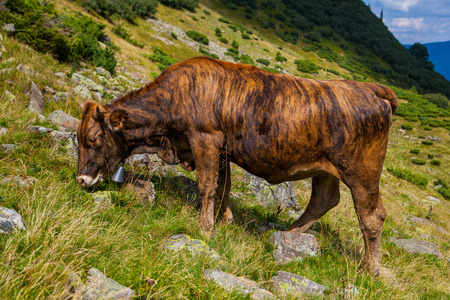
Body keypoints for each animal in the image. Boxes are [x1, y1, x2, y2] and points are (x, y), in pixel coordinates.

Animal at [76, 56, 398, 274]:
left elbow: (207, 186)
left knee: (372, 216)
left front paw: (204, 228)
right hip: (325, 169)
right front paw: (225, 221)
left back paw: (369, 269)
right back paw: (288, 234)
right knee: (324, 200)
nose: (81, 179)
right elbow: (224, 186)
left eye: (93, 139)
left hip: (362, 172)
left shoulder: (205, 139)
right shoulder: (223, 150)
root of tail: (371, 89)